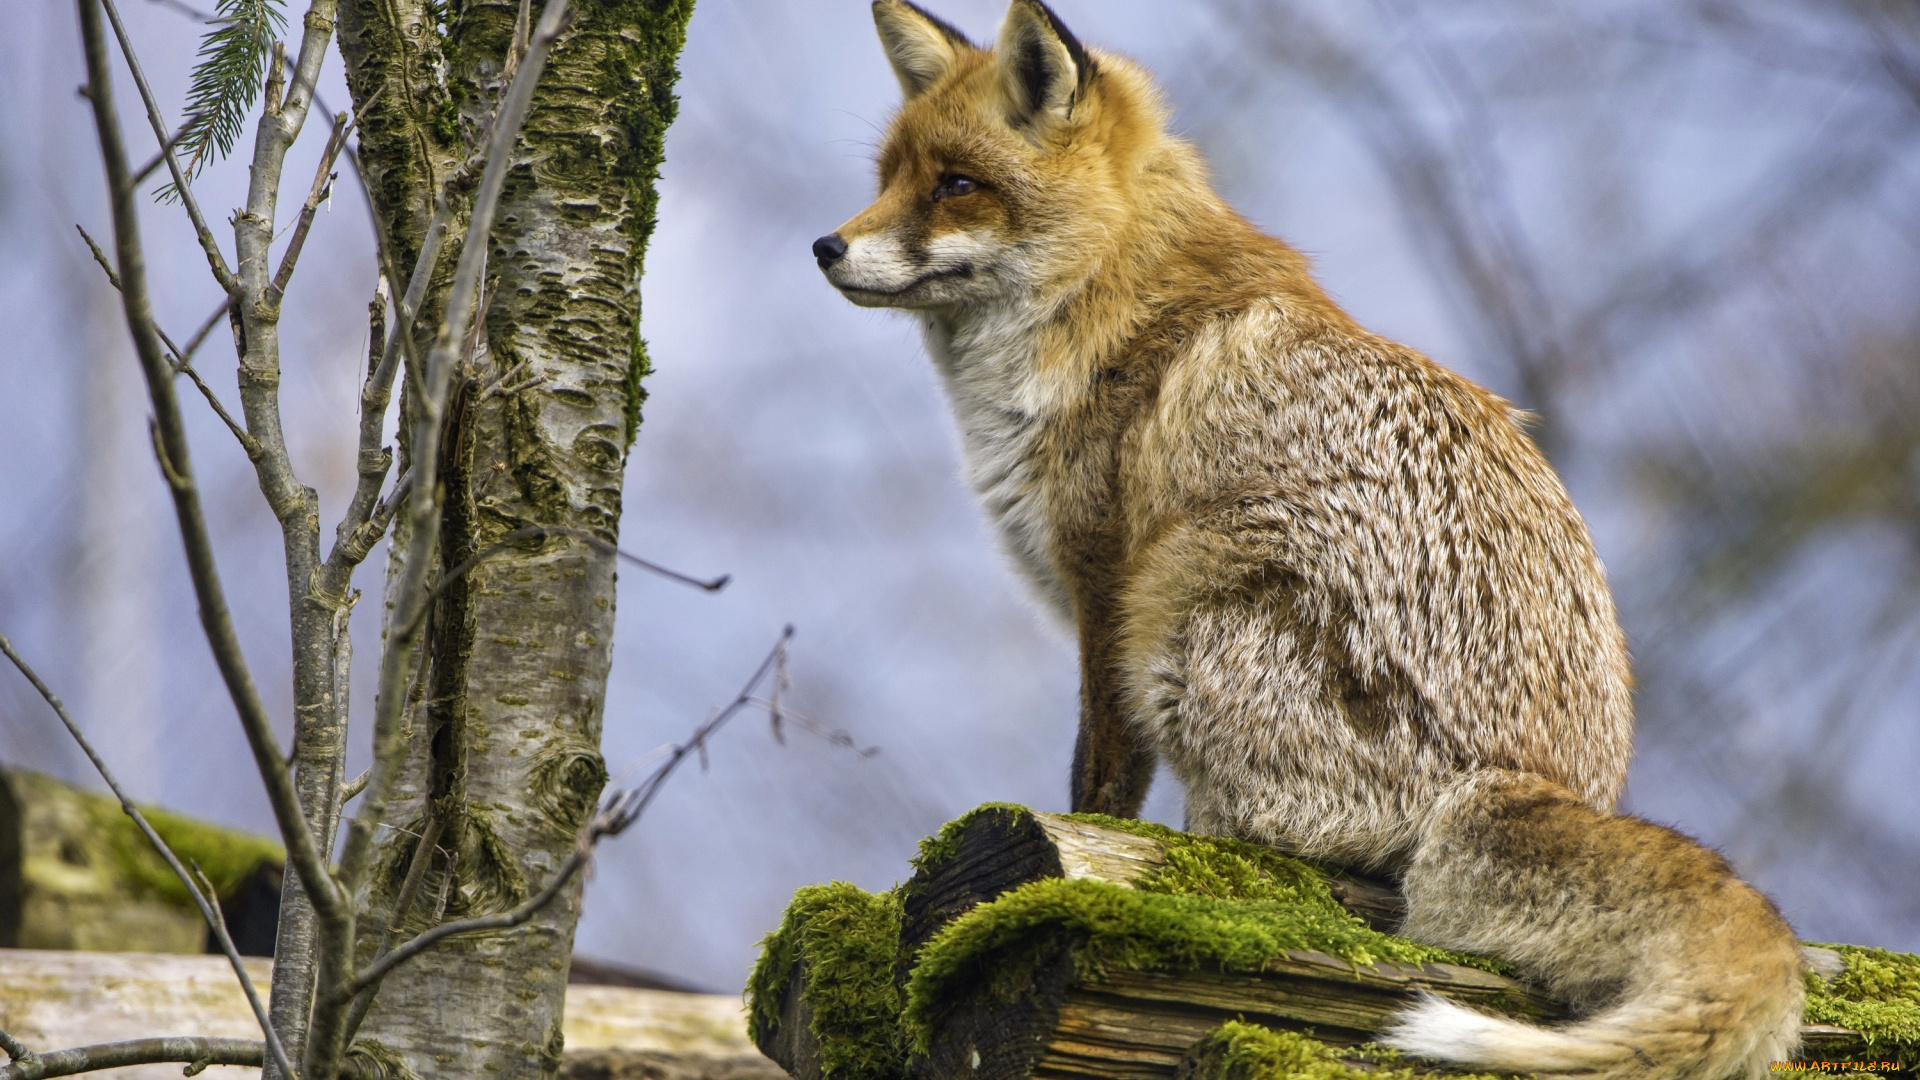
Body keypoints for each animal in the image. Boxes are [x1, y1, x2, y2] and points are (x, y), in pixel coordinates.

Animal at [810, 0, 1812, 1068]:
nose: (826, 246)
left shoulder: (1107, 593)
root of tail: (1531, 779)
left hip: (1186, 603)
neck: (1105, 309)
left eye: (956, 185)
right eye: (888, 179)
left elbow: (1098, 786)